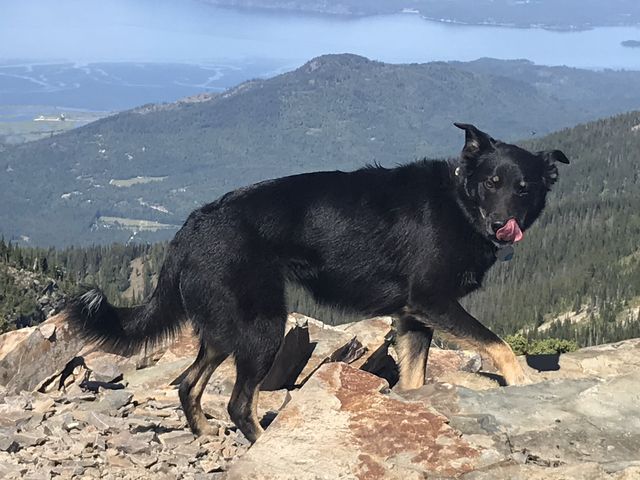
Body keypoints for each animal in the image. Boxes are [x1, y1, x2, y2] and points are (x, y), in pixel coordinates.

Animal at [69, 124, 568, 442]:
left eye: (523, 188)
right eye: (491, 182)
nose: (502, 225)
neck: (459, 203)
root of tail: (191, 226)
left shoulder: (413, 319)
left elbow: (414, 380)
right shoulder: (433, 301)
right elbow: (499, 344)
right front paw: (521, 381)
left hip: (224, 329)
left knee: (188, 383)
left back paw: (205, 430)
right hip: (264, 326)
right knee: (238, 402)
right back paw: (261, 440)